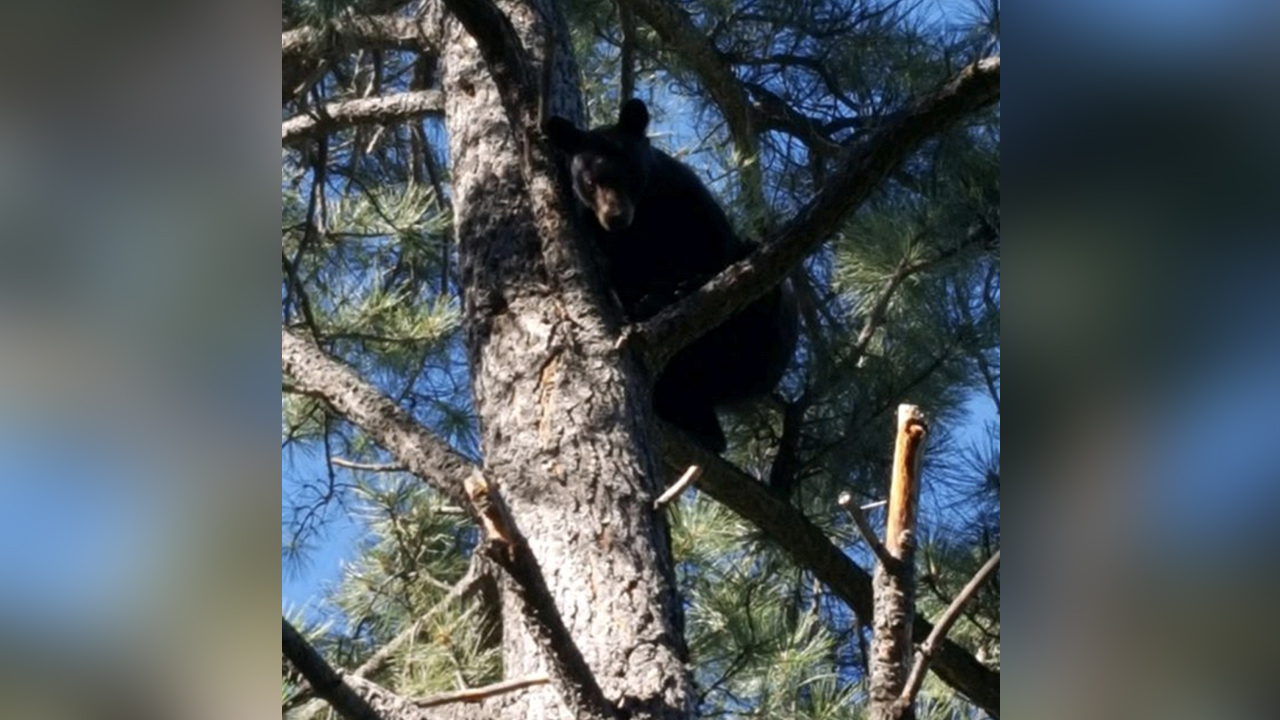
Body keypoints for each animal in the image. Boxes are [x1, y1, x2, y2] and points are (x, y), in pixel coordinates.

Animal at [545, 99, 798, 453]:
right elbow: (622, 282)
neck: (643, 219)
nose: (615, 217)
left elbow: (714, 250)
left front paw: (682, 285)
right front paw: (647, 300)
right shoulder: (600, 239)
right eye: (590, 182)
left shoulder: (687, 200)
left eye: (628, 171)